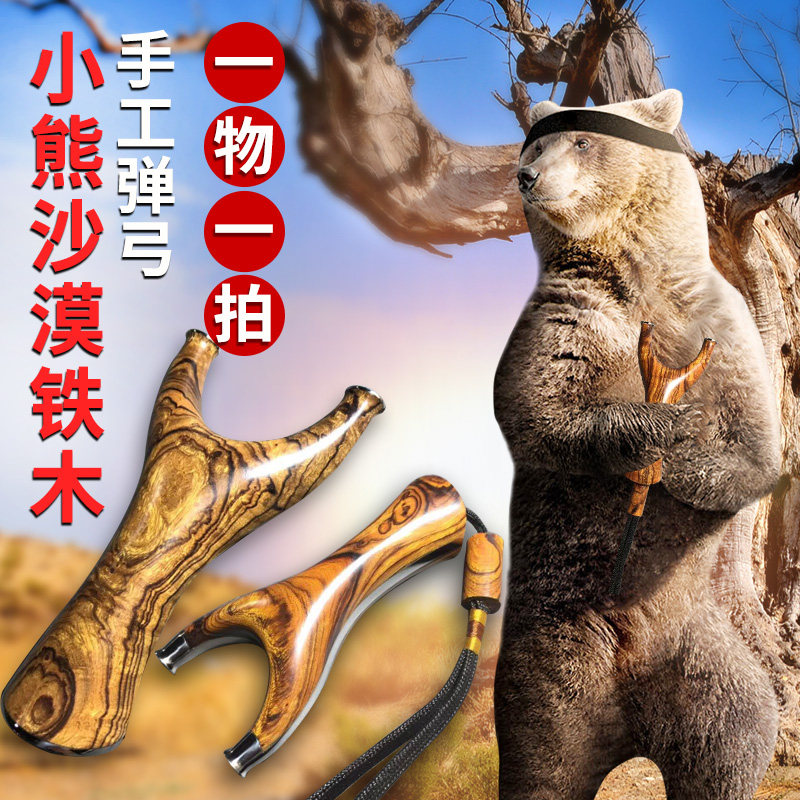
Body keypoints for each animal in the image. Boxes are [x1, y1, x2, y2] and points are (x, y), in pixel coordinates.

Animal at [492, 89, 782, 800]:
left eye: (583, 140)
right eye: (534, 143)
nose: (526, 176)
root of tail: (628, 724)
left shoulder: (718, 318)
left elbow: (757, 448)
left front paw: (688, 442)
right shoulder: (570, 313)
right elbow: (538, 410)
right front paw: (657, 428)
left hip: (705, 664)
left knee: (732, 742)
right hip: (544, 670)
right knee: (541, 763)